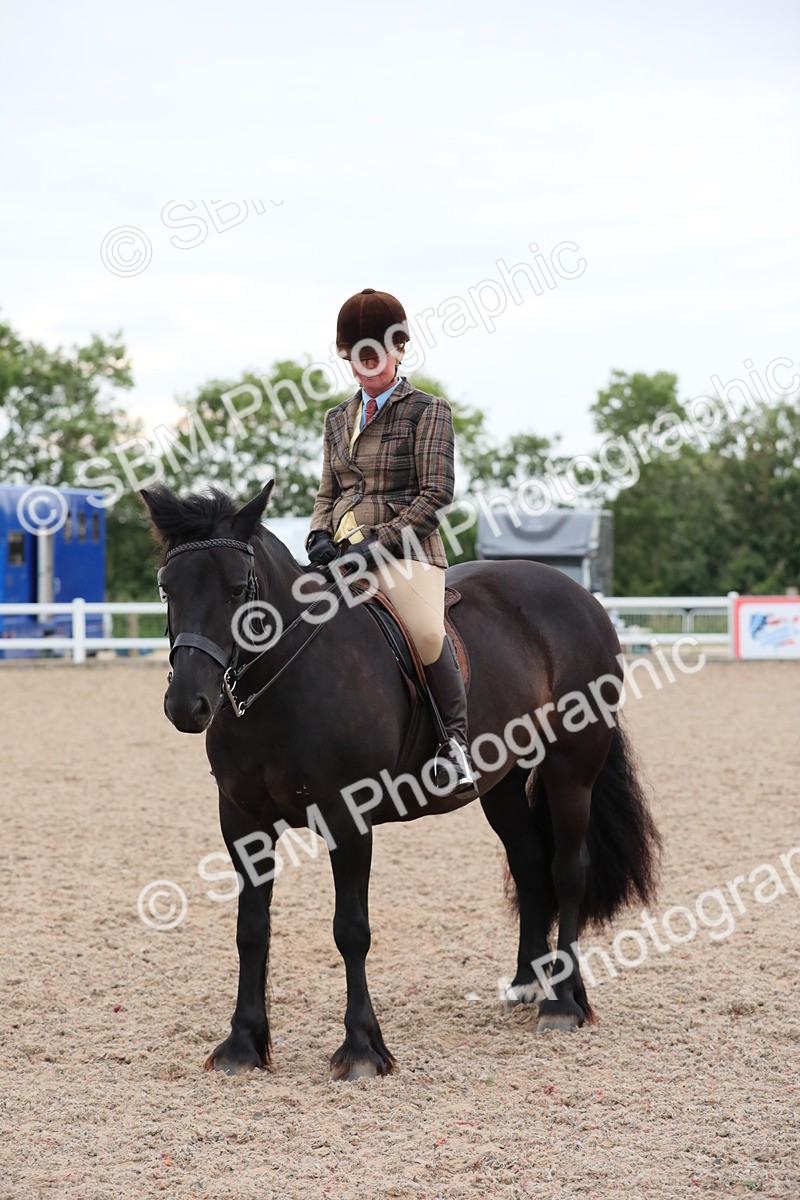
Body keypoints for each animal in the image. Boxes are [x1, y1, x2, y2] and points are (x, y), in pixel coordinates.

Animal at [142, 480, 661, 1080]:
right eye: (167, 587)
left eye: (233, 589)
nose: (187, 704)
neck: (285, 684)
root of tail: (580, 596)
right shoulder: (243, 822)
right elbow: (251, 929)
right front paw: (243, 1044)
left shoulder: (347, 818)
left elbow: (351, 929)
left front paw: (362, 1048)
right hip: (502, 783)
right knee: (530, 864)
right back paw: (531, 985)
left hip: (571, 768)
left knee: (567, 869)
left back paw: (562, 1003)